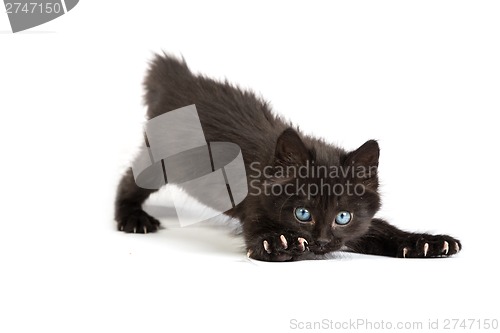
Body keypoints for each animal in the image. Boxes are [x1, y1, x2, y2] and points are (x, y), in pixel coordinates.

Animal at [114, 54, 460, 260]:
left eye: (343, 217)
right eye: (302, 214)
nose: (321, 242)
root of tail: (179, 75)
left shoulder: (361, 225)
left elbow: (382, 228)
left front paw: (427, 242)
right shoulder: (253, 210)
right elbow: (263, 241)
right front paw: (284, 242)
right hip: (163, 160)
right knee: (130, 180)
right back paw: (133, 218)